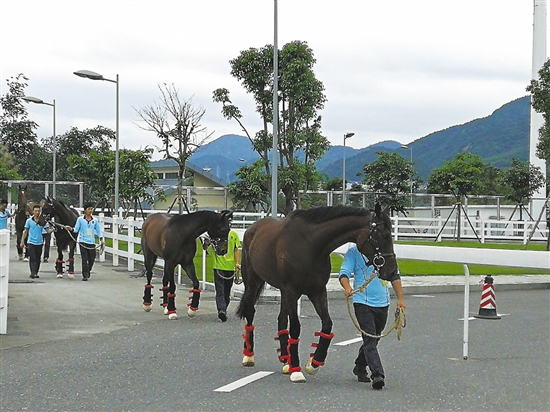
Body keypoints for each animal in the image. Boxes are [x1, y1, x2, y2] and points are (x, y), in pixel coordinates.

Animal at [236, 203, 396, 384]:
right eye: (384, 235)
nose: (392, 271)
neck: (310, 245)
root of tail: (252, 228)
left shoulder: (317, 291)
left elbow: (327, 324)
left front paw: (314, 362)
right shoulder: (293, 291)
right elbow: (296, 327)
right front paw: (297, 370)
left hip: (283, 291)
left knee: (282, 320)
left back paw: (285, 360)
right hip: (253, 282)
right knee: (250, 312)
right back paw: (249, 356)